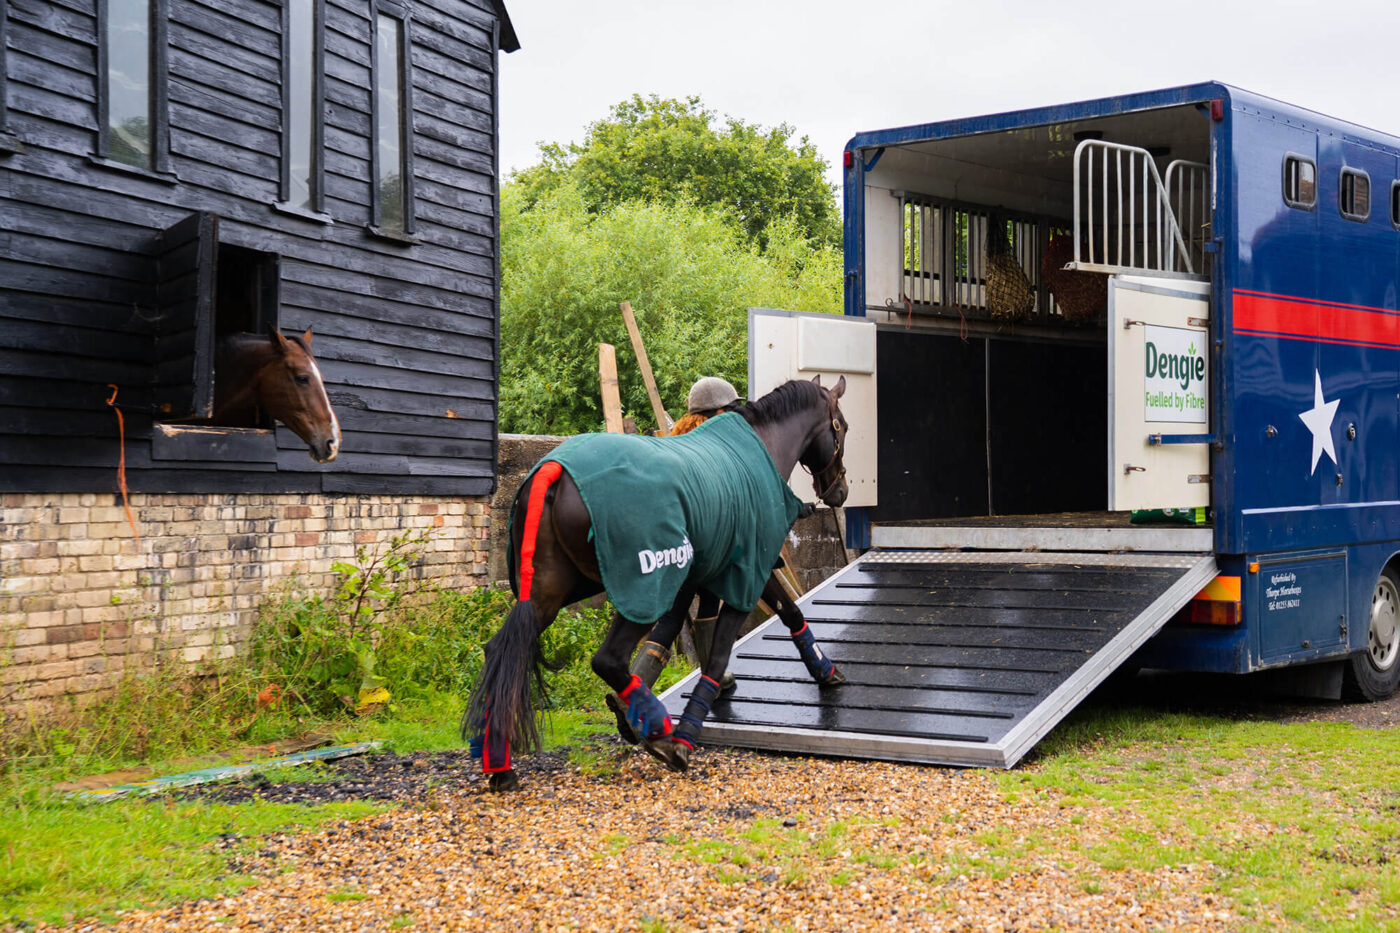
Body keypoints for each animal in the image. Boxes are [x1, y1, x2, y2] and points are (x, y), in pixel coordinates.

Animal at [464, 375, 845, 790]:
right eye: (841, 427)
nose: (840, 492)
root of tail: (553, 469)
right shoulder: (747, 574)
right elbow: (731, 646)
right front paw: (684, 734)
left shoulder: (718, 575)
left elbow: (750, 622)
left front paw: (822, 670)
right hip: (641, 590)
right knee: (608, 659)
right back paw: (660, 731)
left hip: (548, 594)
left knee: (501, 651)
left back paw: (501, 763)